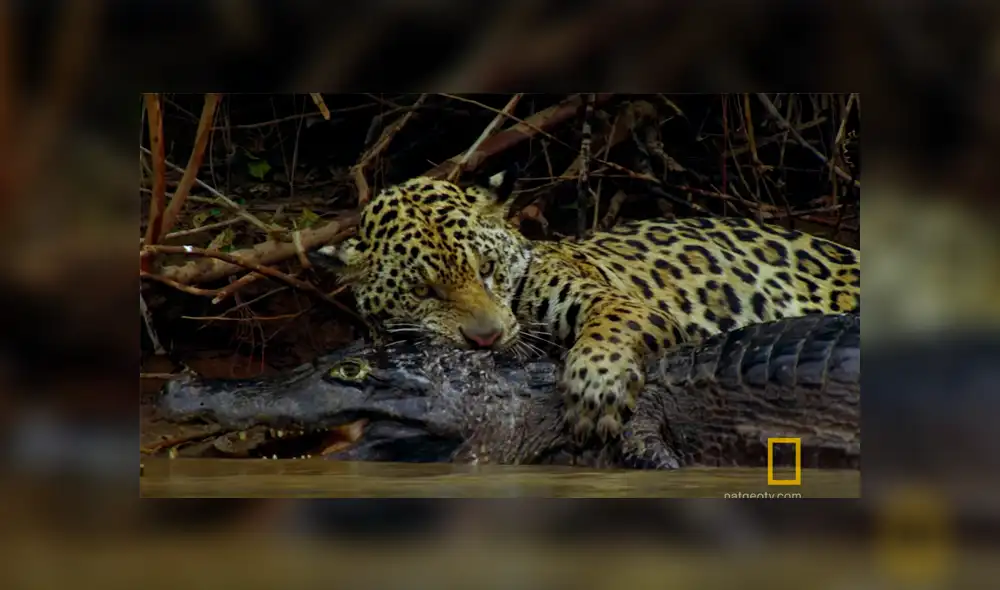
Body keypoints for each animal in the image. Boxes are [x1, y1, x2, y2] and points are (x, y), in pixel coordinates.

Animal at [316, 169, 861, 444]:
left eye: (487, 268)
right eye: (424, 291)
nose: (487, 338)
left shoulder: (616, 300)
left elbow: (608, 327)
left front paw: (594, 393)